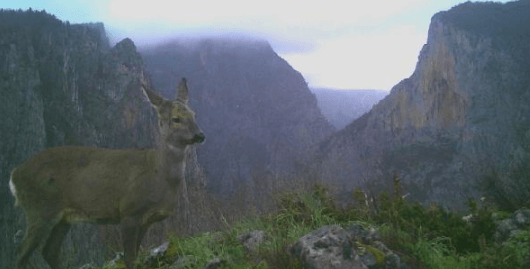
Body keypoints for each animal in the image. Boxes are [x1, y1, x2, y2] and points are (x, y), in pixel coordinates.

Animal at [10, 77, 204, 268]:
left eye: (194, 114)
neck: (158, 175)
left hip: (64, 217)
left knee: (49, 251)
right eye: (176, 118)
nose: (200, 135)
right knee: (21, 252)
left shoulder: (147, 220)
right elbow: (129, 259)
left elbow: (135, 255)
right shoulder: (129, 211)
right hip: (40, 208)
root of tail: (14, 176)